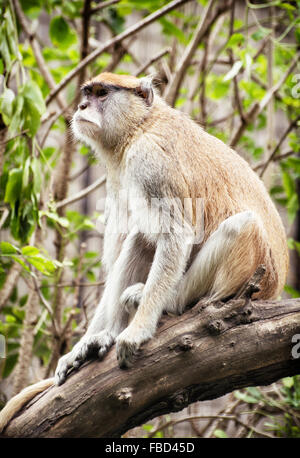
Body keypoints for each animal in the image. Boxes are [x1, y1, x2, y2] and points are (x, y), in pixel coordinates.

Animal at [0, 71, 288, 432]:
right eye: (88, 93)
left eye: (101, 94)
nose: (82, 107)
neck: (142, 124)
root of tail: (274, 289)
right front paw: (88, 344)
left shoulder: (150, 161)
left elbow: (177, 233)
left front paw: (136, 332)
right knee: (141, 237)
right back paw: (105, 336)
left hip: (246, 270)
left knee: (241, 225)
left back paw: (168, 302)